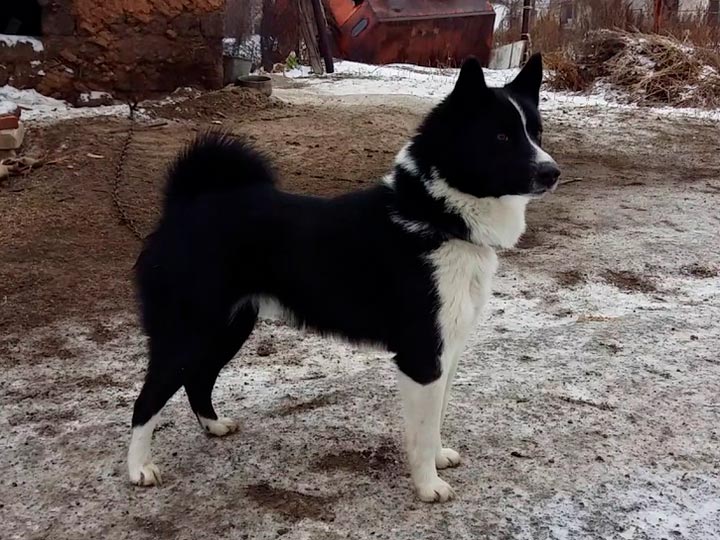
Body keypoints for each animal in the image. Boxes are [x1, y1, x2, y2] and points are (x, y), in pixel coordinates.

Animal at [127, 53, 560, 502]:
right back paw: (139, 469)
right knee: (147, 401)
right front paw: (428, 485)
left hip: (228, 328)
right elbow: (422, 431)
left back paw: (214, 426)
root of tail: (184, 205)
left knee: (198, 379)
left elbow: (437, 418)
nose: (553, 172)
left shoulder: (448, 352)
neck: (437, 217)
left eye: (536, 132)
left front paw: (439, 460)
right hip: (187, 332)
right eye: (501, 137)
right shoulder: (423, 355)